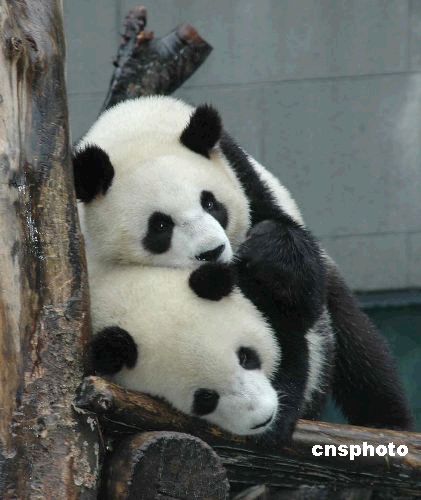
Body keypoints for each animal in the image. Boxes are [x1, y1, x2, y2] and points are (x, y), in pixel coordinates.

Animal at [72, 96, 410, 430]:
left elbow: (296, 289)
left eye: (210, 203)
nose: (212, 251)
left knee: (361, 352)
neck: (134, 124)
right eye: (160, 226)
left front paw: (267, 256)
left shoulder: (246, 179)